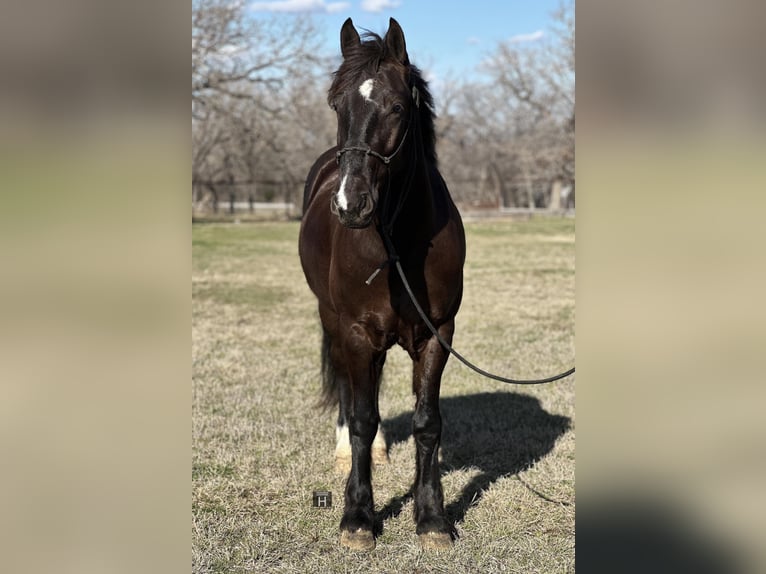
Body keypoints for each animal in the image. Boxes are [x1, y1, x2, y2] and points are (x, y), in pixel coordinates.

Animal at [300, 15, 468, 552]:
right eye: (336, 104)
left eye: (397, 107)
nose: (350, 204)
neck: (398, 241)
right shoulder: (356, 331)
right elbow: (360, 417)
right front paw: (358, 517)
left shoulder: (437, 334)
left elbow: (427, 422)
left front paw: (431, 518)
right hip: (333, 322)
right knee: (349, 391)